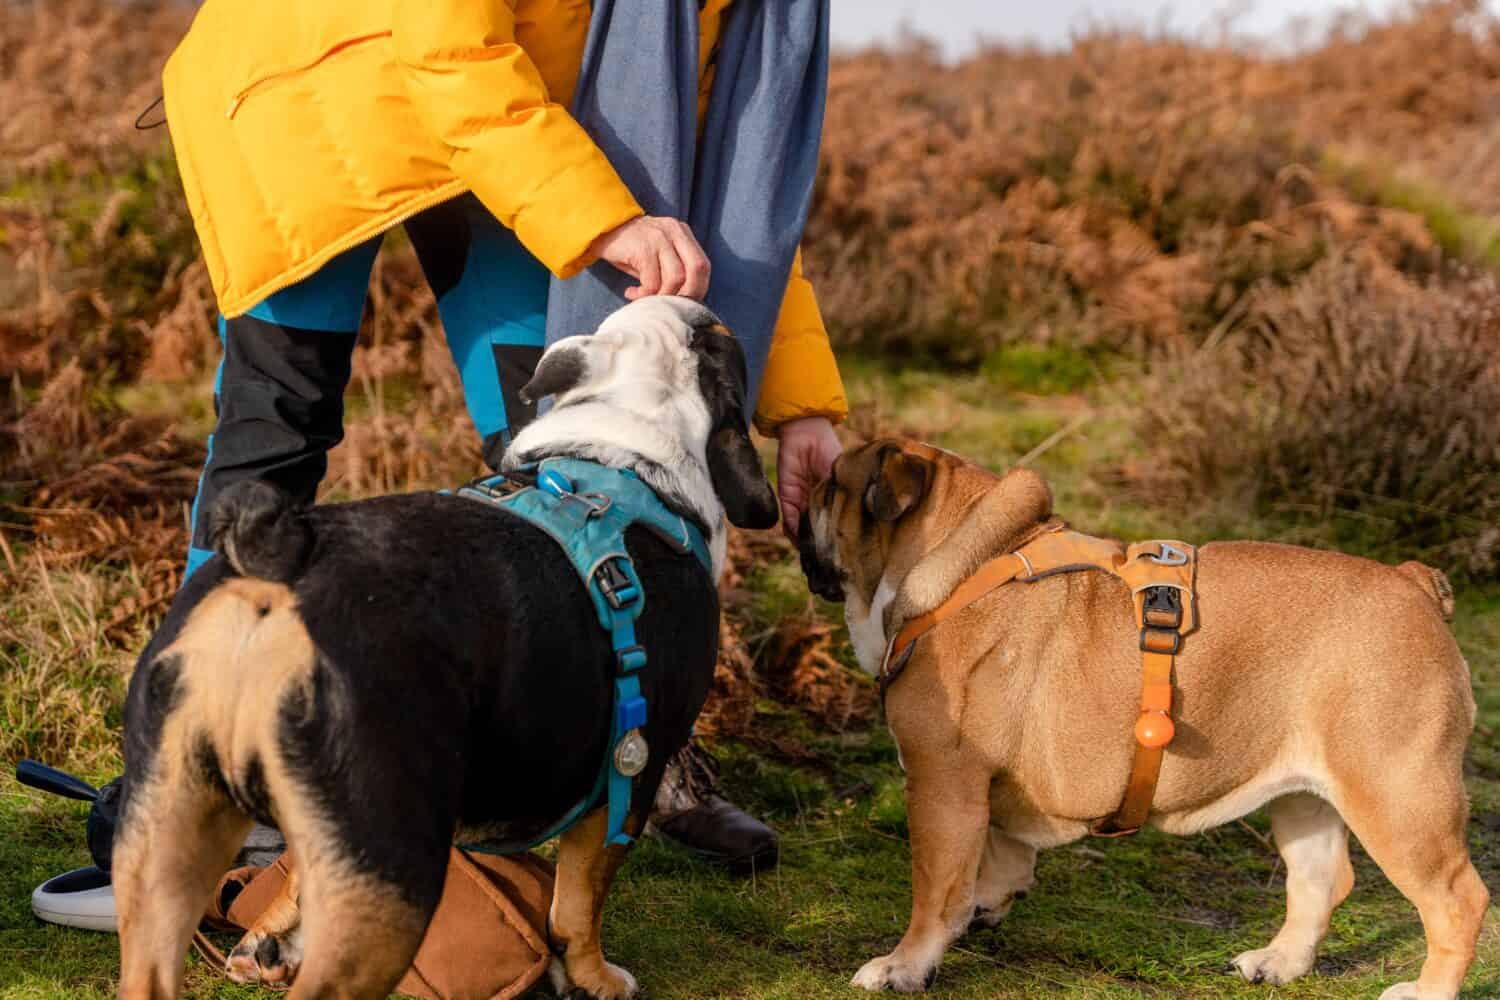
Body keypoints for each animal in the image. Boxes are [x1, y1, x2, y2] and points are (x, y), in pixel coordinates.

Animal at [111, 296, 780, 1000]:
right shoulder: (631, 775)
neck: (626, 448)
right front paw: (593, 977)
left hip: (166, 836)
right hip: (395, 875)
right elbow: (579, 901)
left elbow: (296, 878)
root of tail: (280, 572)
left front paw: (267, 940)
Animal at [804, 443, 1482, 1000]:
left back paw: (1425, 991)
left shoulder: (941, 780)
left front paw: (905, 965)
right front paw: (983, 906)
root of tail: (1415, 584)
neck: (961, 564)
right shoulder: (978, 789)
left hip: (1398, 795)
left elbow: (934, 887)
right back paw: (1278, 963)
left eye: (831, 484)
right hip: (1304, 796)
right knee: (1320, 879)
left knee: (1458, 900)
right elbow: (994, 856)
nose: (801, 492)